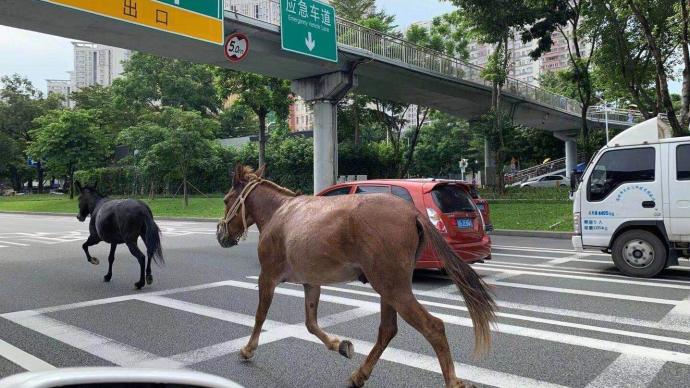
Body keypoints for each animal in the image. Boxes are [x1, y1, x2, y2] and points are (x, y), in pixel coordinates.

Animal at [216, 164, 494, 388]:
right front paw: (339, 345)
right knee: (387, 329)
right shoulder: (311, 281)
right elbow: (311, 323)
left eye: (227, 200)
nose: (221, 235)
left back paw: (452, 381)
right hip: (388, 288)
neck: (279, 213)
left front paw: (248, 349)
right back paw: (360, 374)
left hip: (393, 288)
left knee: (433, 326)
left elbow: (260, 316)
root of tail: (412, 213)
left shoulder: (268, 276)